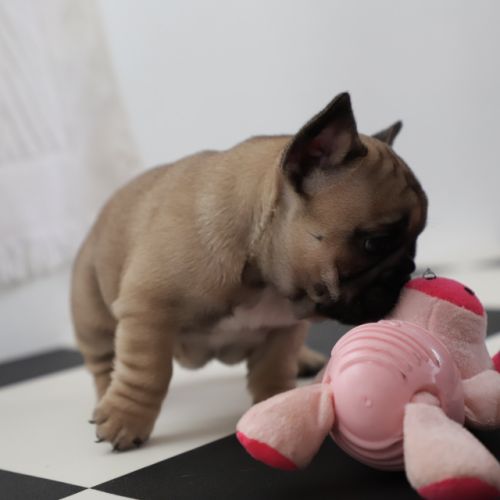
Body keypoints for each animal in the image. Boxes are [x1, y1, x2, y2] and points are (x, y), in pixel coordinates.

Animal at [71, 92, 427, 450]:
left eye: (416, 241)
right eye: (375, 242)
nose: (406, 271)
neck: (261, 274)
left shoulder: (283, 328)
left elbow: (273, 369)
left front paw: (278, 408)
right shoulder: (149, 310)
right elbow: (147, 371)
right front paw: (126, 419)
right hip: (92, 314)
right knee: (104, 361)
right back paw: (106, 395)